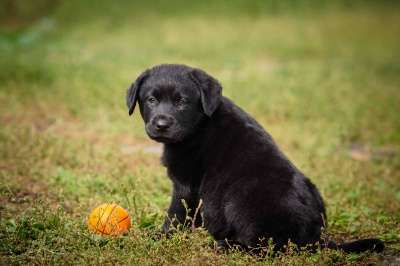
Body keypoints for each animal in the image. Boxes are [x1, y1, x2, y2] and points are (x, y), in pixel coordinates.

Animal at [126, 63, 382, 252]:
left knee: (266, 245)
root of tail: (315, 238)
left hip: (239, 199)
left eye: (181, 102)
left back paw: (226, 245)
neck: (199, 126)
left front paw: (159, 236)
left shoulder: (185, 187)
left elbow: (176, 216)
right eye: (151, 100)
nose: (161, 124)